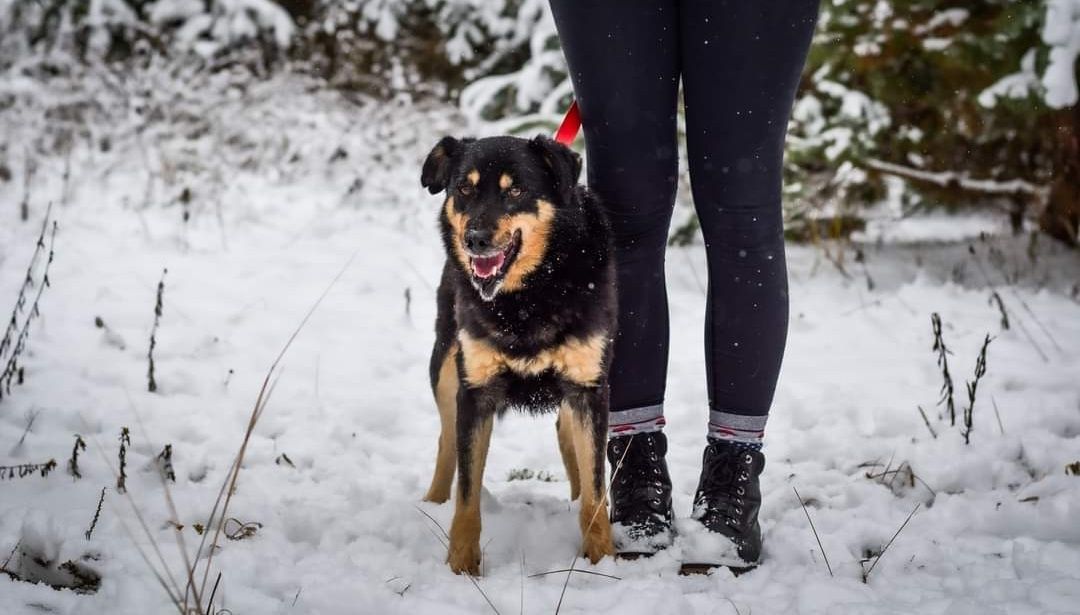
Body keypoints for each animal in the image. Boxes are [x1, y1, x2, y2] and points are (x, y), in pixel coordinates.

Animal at [419, 134, 617, 575]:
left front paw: (603, 562)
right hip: (445, 367)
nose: (475, 239)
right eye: (464, 189)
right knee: (445, 441)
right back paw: (431, 505)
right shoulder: (475, 391)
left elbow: (596, 493)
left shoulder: (588, 388)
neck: (529, 294)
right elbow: (467, 496)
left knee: (568, 441)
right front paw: (462, 567)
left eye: (516, 191)